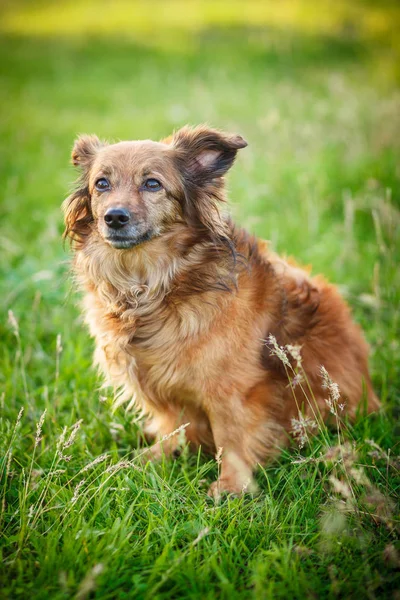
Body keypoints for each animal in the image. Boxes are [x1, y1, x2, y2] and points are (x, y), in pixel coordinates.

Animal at [61, 124, 378, 494]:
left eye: (153, 184)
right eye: (101, 184)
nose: (114, 217)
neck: (153, 286)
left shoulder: (235, 388)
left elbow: (231, 434)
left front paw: (231, 486)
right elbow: (173, 423)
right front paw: (155, 457)